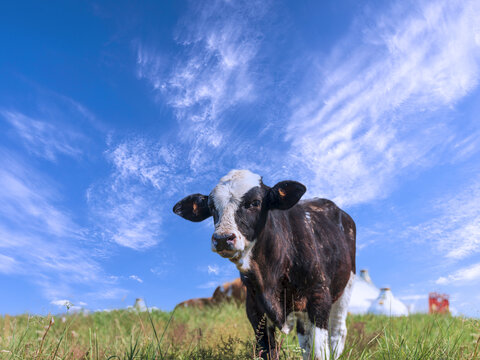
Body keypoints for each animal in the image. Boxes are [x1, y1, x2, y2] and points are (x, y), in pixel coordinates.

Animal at [173, 169, 356, 360]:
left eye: (255, 202)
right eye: (212, 207)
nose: (222, 238)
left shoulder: (319, 297)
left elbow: (319, 352)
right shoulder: (255, 308)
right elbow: (268, 350)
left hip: (345, 287)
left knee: (337, 332)